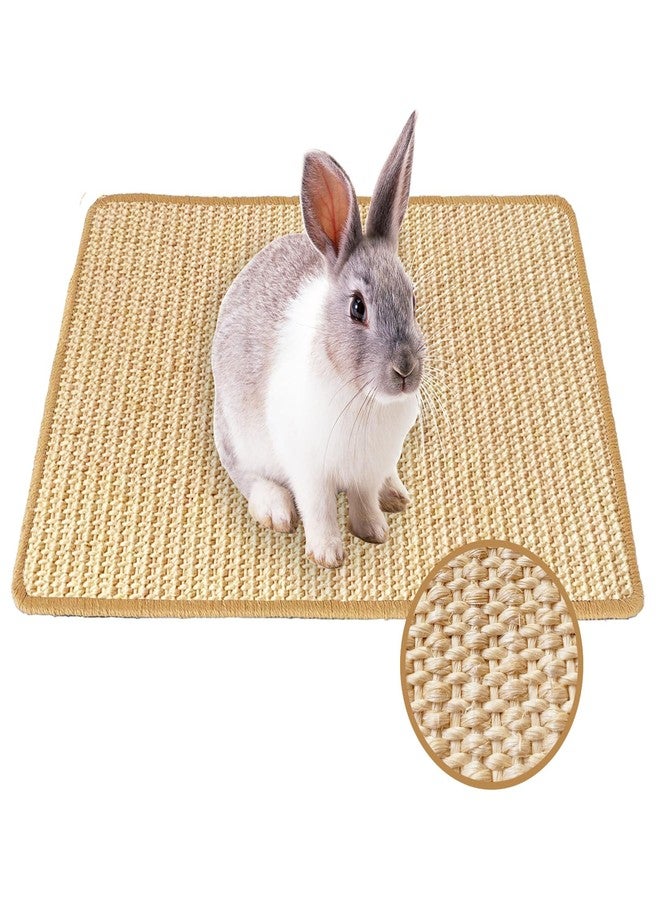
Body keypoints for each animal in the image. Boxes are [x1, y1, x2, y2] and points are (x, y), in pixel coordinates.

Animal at [211, 111, 425, 568]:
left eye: (413, 300)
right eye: (358, 308)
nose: (405, 370)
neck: (364, 398)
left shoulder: (366, 470)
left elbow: (363, 500)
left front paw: (374, 532)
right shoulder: (309, 469)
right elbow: (320, 508)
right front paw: (328, 555)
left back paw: (395, 494)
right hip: (238, 437)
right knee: (247, 475)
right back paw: (274, 510)